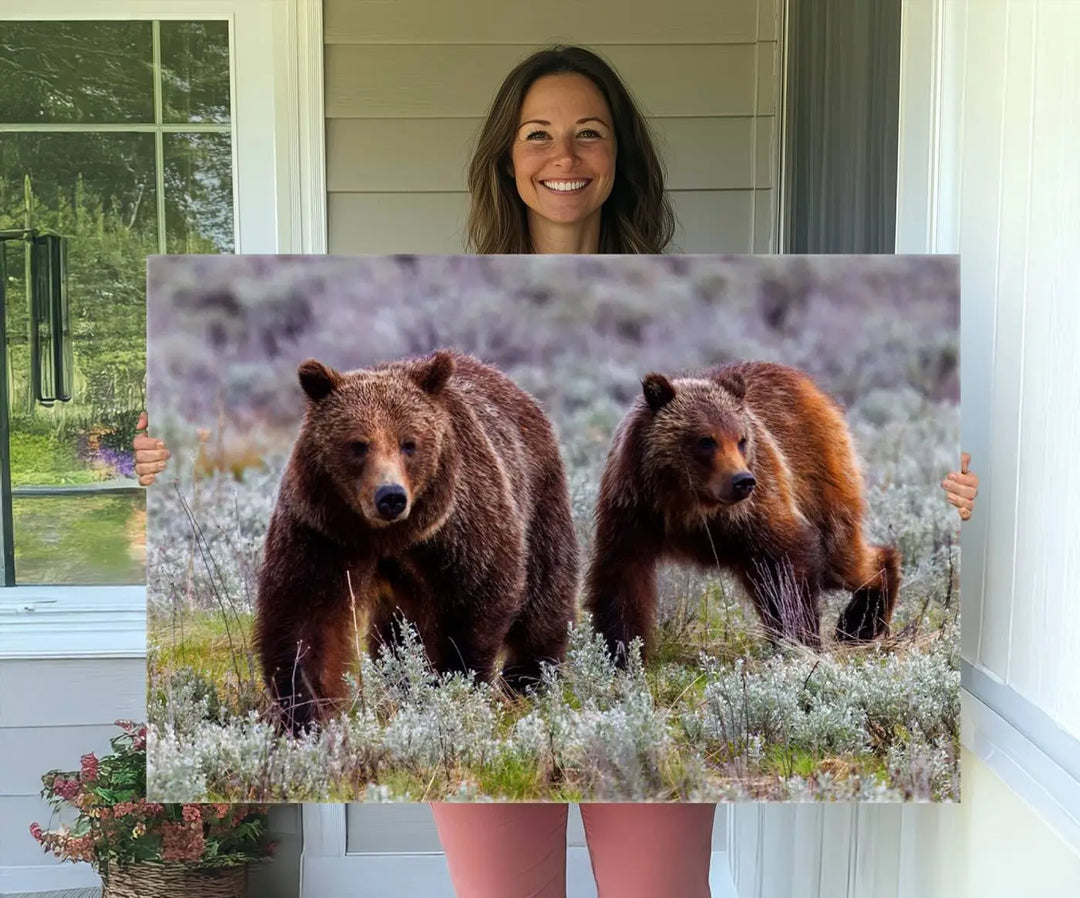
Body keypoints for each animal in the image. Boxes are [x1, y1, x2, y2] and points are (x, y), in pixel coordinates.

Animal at [254, 347, 583, 734]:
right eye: (358, 445)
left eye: (409, 443)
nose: (391, 496)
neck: (390, 537)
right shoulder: (322, 532)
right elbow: (305, 619)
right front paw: (306, 712)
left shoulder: (460, 529)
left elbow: (475, 602)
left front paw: (454, 683)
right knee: (393, 634)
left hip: (539, 498)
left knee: (545, 596)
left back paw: (528, 678)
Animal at [587, 360, 898, 665]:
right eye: (706, 440)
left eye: (741, 439)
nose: (742, 480)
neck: (689, 504)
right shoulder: (633, 509)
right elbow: (622, 577)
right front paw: (619, 653)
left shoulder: (757, 508)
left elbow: (787, 563)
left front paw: (799, 640)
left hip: (819, 474)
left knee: (841, 555)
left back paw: (860, 620)